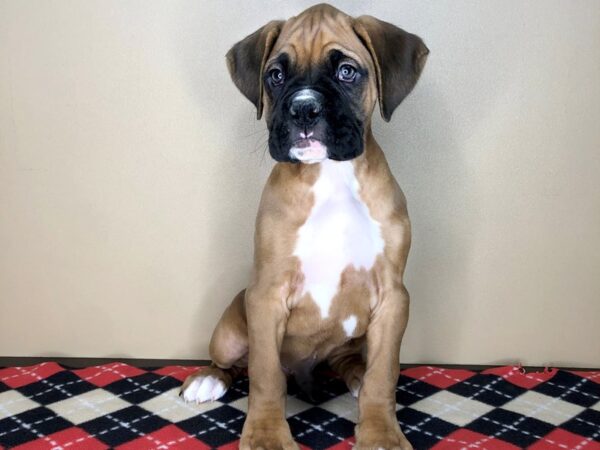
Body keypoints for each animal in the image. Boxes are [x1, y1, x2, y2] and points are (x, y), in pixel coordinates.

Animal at [180, 4, 428, 450]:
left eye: (347, 71)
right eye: (276, 75)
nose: (303, 109)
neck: (329, 176)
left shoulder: (392, 297)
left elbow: (384, 373)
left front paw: (381, 431)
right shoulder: (266, 296)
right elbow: (264, 375)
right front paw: (265, 434)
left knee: (352, 362)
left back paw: (356, 376)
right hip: (229, 331)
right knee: (235, 363)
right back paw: (209, 379)